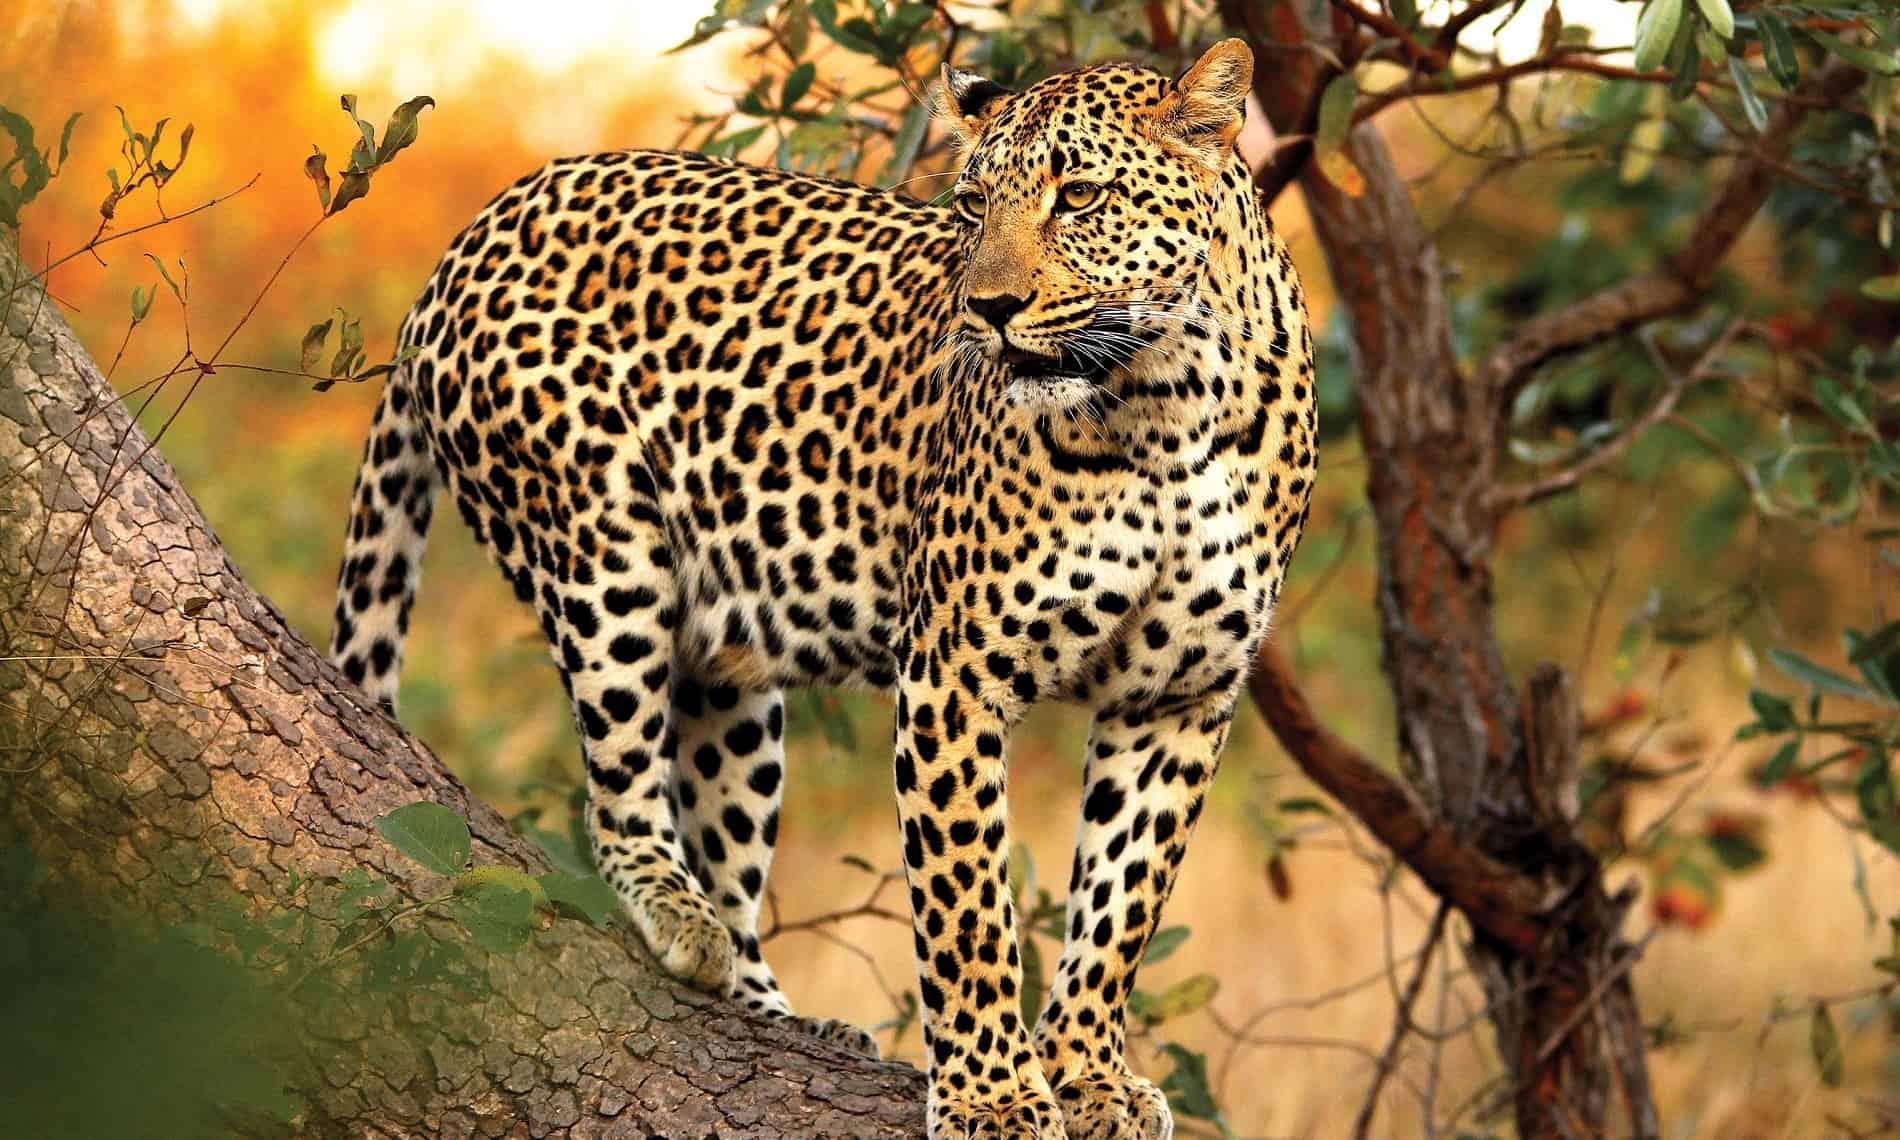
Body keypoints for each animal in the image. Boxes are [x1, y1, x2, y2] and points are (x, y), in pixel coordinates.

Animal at [328, 38, 1314, 1140]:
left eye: (1081, 195)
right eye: (974, 205)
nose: (988, 311)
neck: (1165, 404)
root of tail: (470, 235)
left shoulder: (1181, 698)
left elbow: (1121, 905)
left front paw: (1089, 1074)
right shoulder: (955, 678)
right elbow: (968, 910)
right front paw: (995, 1096)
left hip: (728, 664)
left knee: (720, 818)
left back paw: (777, 1008)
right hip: (598, 547)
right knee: (618, 791)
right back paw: (683, 922)